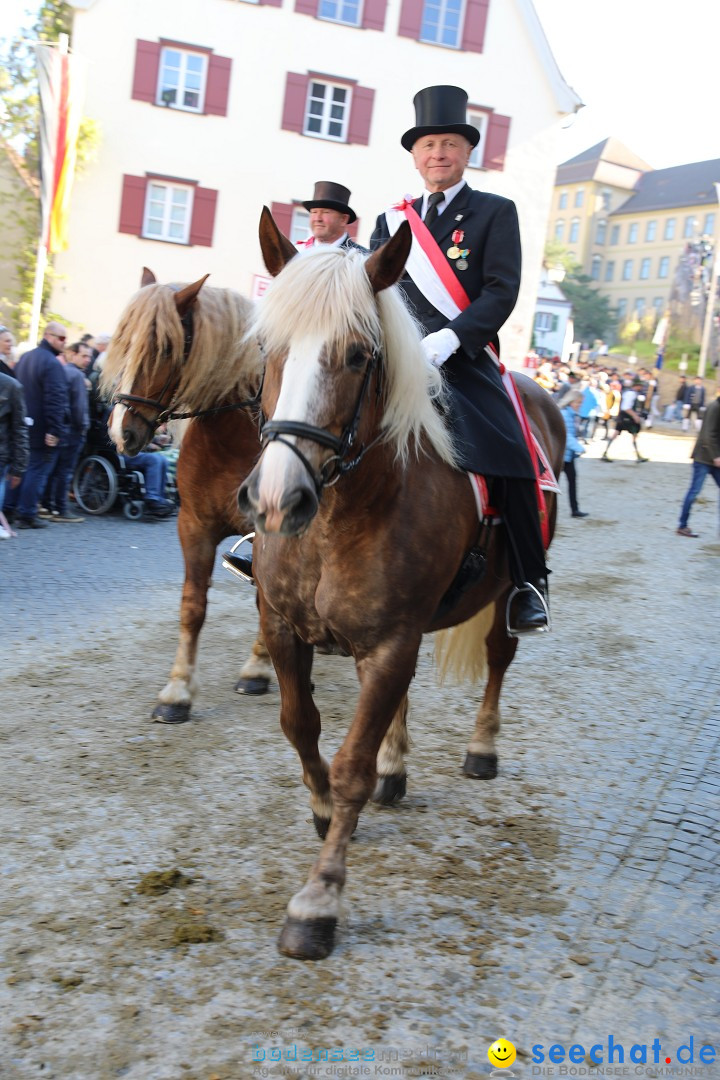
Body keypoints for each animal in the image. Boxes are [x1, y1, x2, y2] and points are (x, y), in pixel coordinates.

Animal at [101, 270, 269, 721]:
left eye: (165, 347)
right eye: (122, 340)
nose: (122, 433)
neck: (232, 439)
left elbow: (266, 600)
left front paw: (258, 667)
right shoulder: (194, 526)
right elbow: (192, 607)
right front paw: (176, 690)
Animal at [239, 206, 565, 959]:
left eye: (359, 355)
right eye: (268, 345)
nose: (276, 500)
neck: (343, 514)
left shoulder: (392, 641)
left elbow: (351, 761)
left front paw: (319, 898)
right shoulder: (284, 627)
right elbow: (300, 725)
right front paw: (323, 806)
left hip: (500, 600)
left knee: (499, 658)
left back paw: (481, 747)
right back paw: (397, 767)